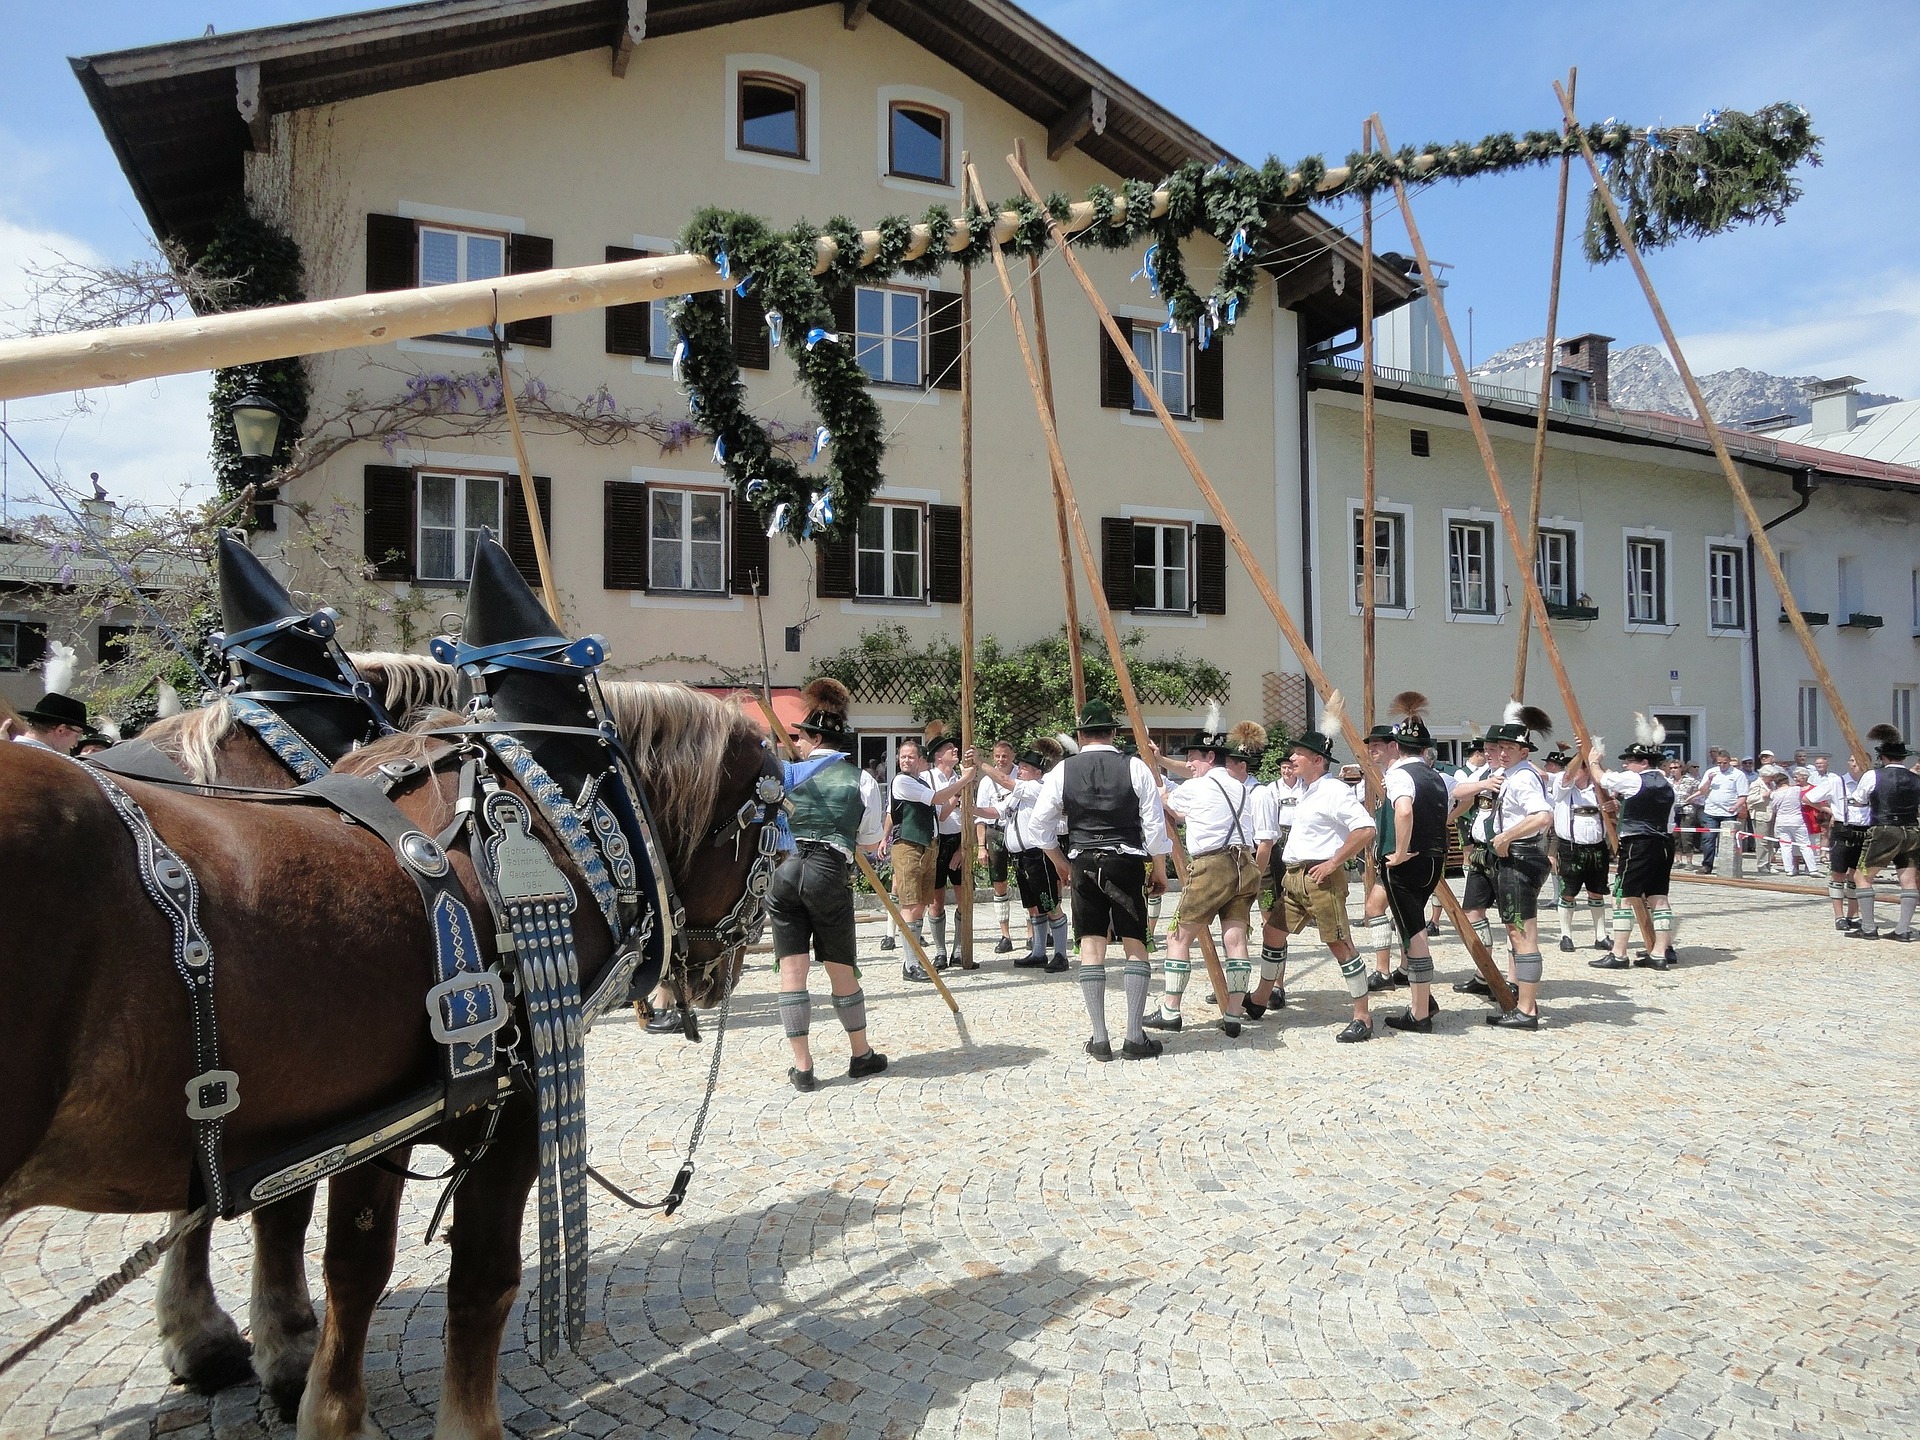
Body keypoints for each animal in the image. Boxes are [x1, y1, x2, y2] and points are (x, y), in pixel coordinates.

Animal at [3, 679, 779, 1440]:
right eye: (771, 838)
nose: (723, 973)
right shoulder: (511, 1110)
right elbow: (480, 1278)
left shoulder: (373, 1122)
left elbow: (354, 1266)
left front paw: (321, 1403)